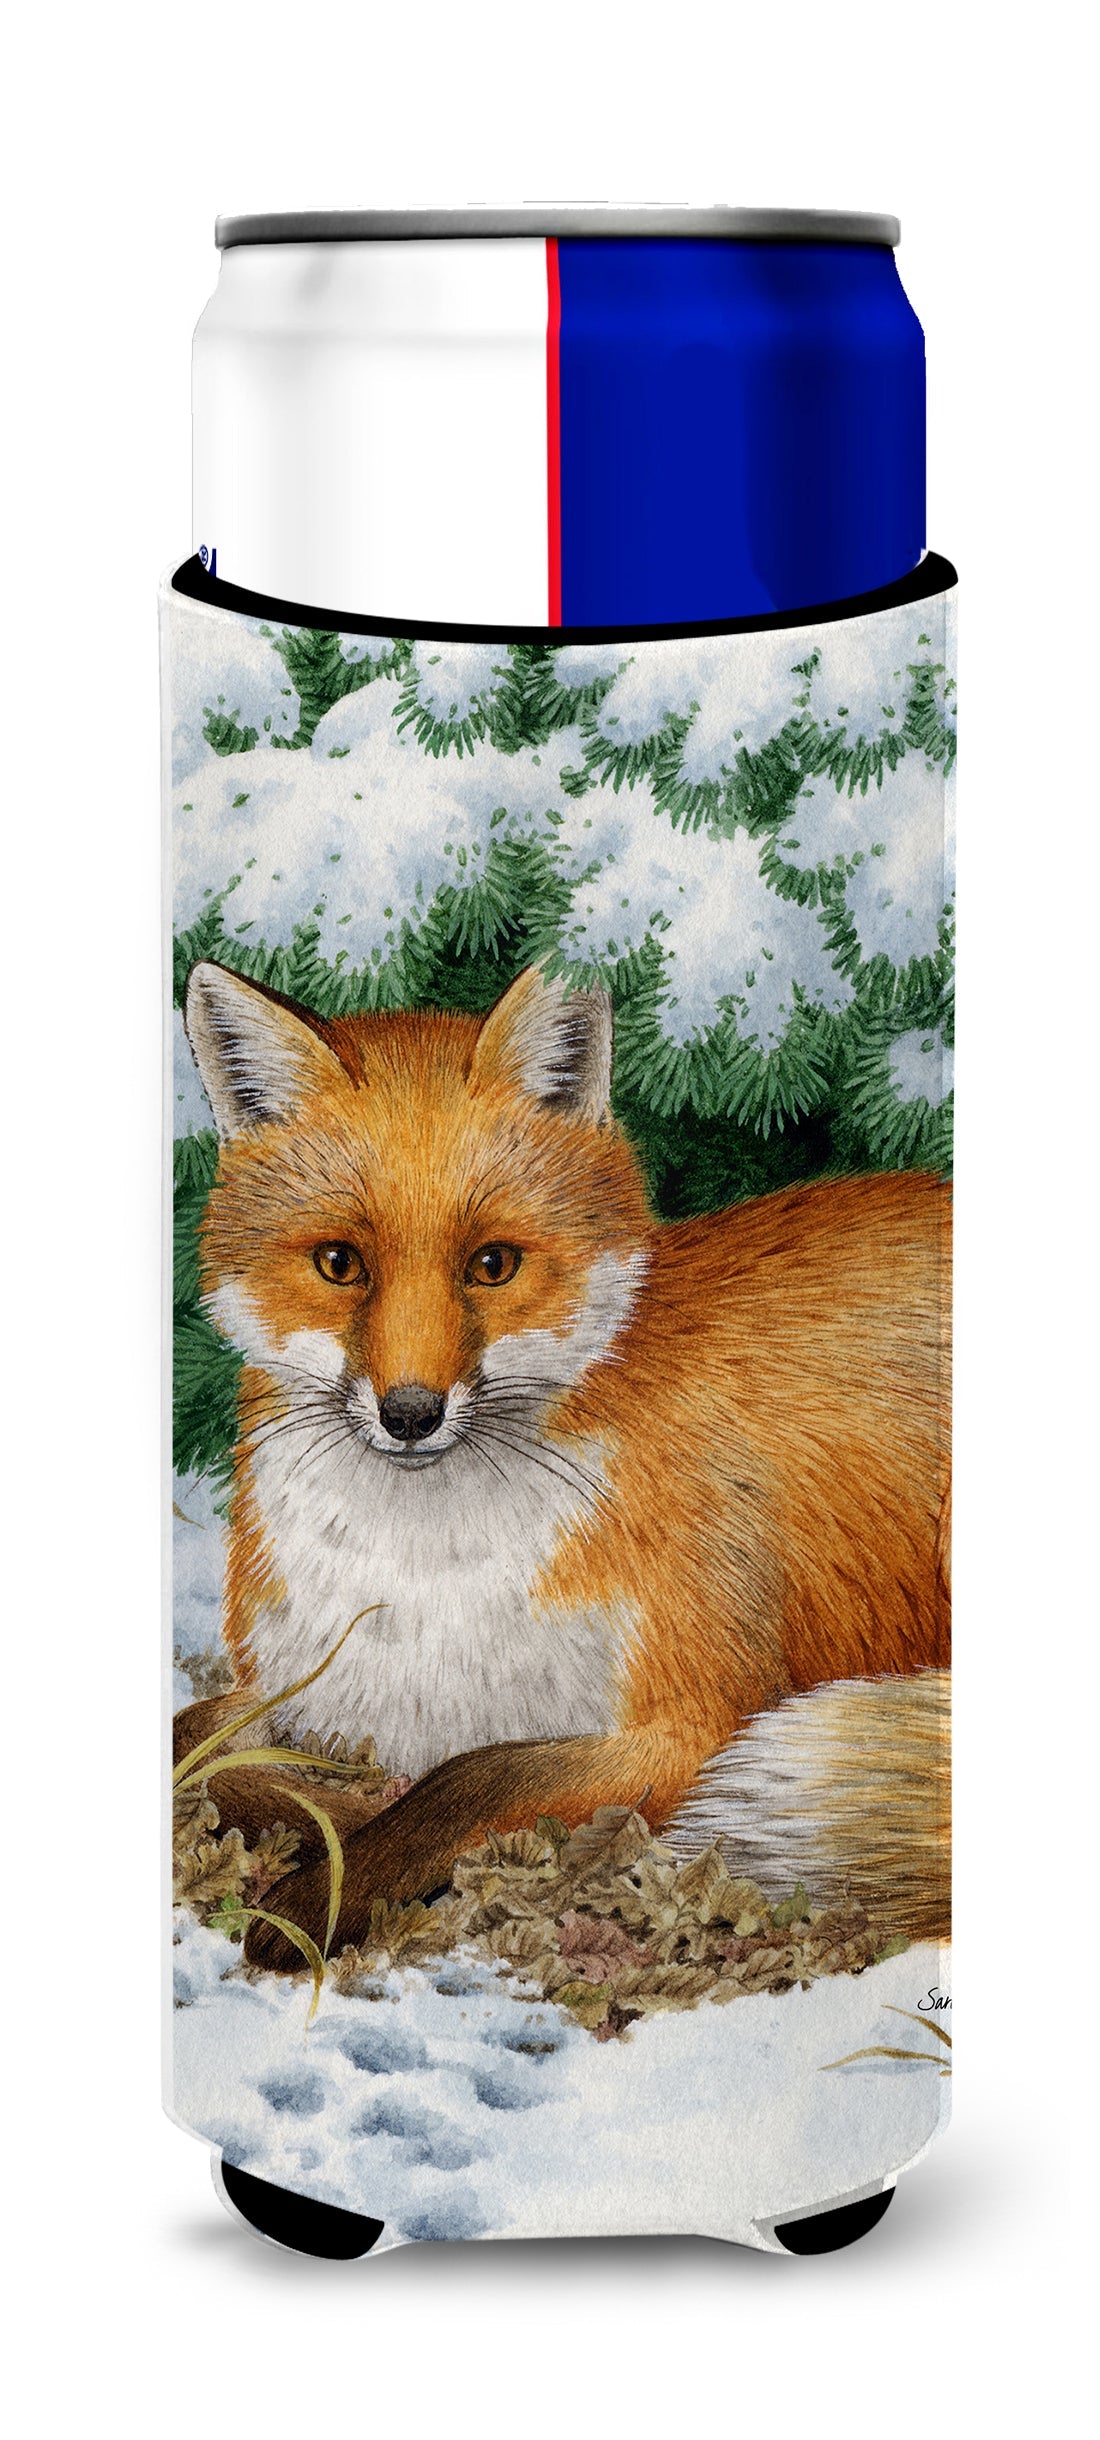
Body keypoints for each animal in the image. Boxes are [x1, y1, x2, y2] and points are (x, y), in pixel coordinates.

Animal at [175, 958, 951, 1970]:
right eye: (340, 1263)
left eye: (492, 1265)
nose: (411, 1415)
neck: (424, 1587)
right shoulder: (297, 1684)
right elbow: (196, 1745)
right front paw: (332, 1812)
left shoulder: (691, 1726)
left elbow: (470, 1782)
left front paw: (315, 1900)